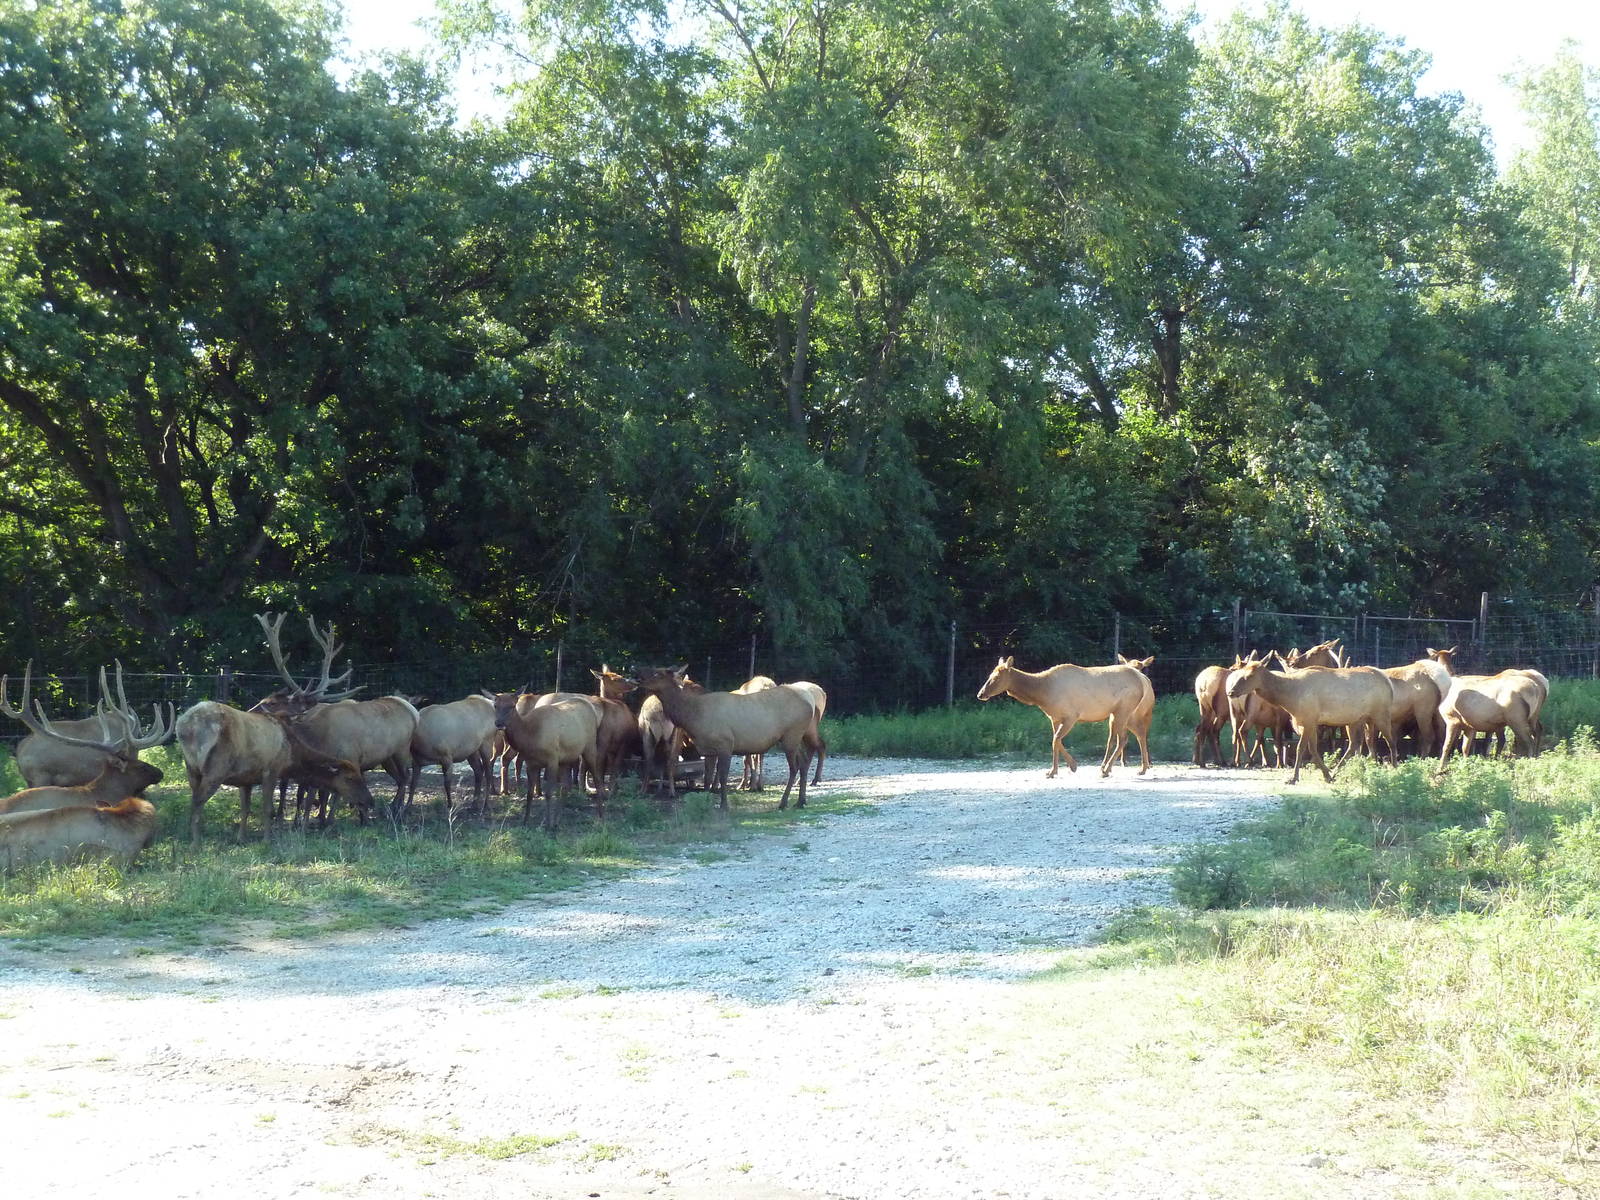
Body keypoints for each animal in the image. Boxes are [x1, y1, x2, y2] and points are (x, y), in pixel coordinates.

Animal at [632, 667, 819, 811]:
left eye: (658, 673)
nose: (636, 672)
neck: (693, 717)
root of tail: (810, 703)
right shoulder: (709, 749)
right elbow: (708, 777)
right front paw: (708, 800)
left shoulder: (725, 744)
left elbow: (722, 776)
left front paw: (723, 805)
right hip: (797, 737)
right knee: (803, 762)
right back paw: (801, 801)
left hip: (791, 736)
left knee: (794, 767)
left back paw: (784, 802)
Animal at [976, 656, 1154, 778]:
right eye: (990, 675)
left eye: (996, 677)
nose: (980, 694)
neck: (1042, 694)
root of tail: (1142, 680)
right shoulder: (1054, 718)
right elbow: (1056, 741)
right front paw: (1054, 770)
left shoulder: (1071, 716)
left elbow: (1055, 740)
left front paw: (1072, 766)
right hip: (1123, 714)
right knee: (1135, 735)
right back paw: (1141, 768)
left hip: (1123, 711)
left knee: (1125, 738)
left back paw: (1107, 769)